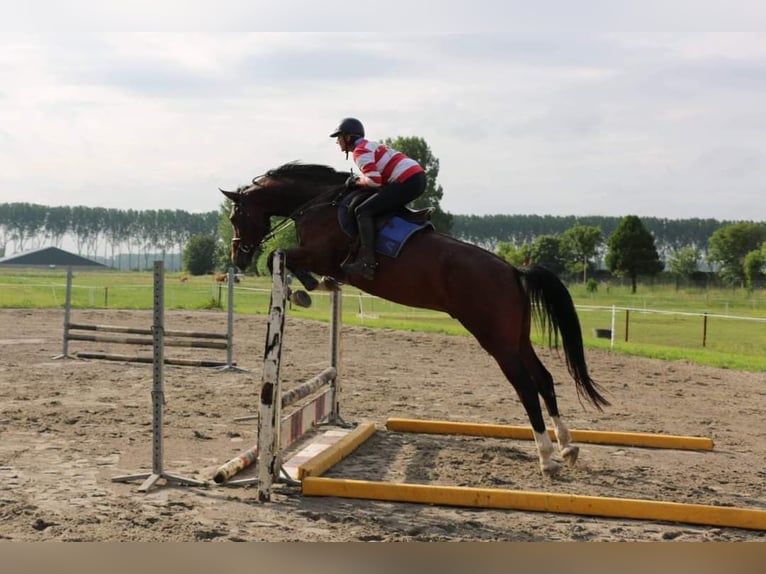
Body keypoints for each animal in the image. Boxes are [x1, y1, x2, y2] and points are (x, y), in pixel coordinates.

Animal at [222, 163, 612, 476]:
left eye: (235, 217)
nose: (238, 257)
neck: (318, 203)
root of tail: (514, 270)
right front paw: (313, 287)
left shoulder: (318, 254)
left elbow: (279, 255)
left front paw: (305, 289)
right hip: (517, 337)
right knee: (544, 379)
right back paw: (567, 447)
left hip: (496, 341)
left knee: (527, 388)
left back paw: (546, 458)